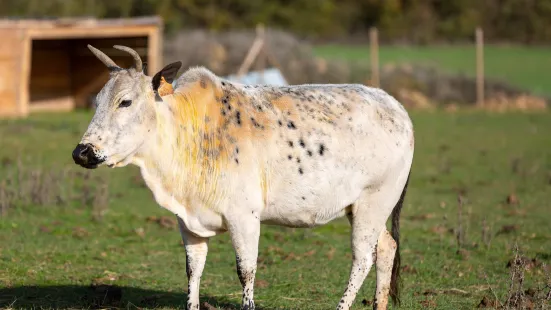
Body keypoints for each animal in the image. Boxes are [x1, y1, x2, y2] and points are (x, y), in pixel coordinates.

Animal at [72, 45, 414, 310]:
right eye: (97, 101)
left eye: (125, 101)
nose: (82, 152)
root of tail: (396, 106)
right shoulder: (188, 222)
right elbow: (193, 270)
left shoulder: (244, 217)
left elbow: (246, 271)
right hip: (363, 208)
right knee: (386, 248)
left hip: (374, 201)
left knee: (362, 258)